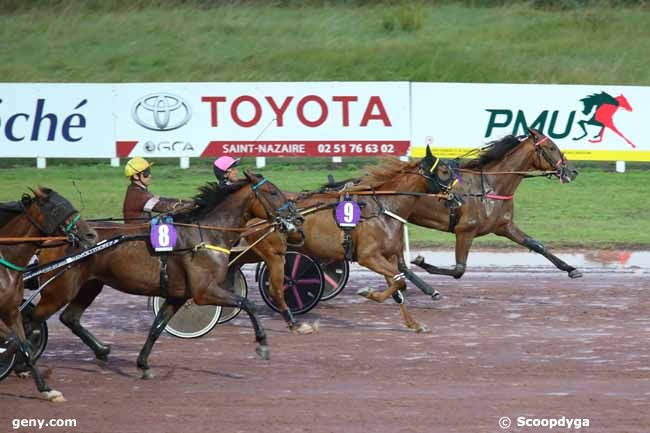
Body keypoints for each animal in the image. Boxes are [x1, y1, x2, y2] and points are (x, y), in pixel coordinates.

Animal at [0, 186, 97, 402]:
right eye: (57, 209)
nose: (91, 235)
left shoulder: (11, 310)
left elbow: (23, 344)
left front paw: (46, 389)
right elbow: (14, 341)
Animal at [27, 172, 296, 378]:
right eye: (273, 192)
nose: (295, 216)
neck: (205, 235)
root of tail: (55, 238)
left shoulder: (177, 295)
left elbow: (156, 328)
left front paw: (143, 365)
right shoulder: (204, 291)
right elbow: (247, 303)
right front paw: (262, 344)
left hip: (90, 285)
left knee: (69, 318)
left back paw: (101, 350)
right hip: (60, 289)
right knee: (31, 322)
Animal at [408, 129, 580, 280]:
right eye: (551, 147)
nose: (572, 172)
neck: (490, 187)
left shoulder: (504, 225)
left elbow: (536, 244)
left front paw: (571, 269)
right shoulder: (465, 230)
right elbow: (459, 270)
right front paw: (420, 262)